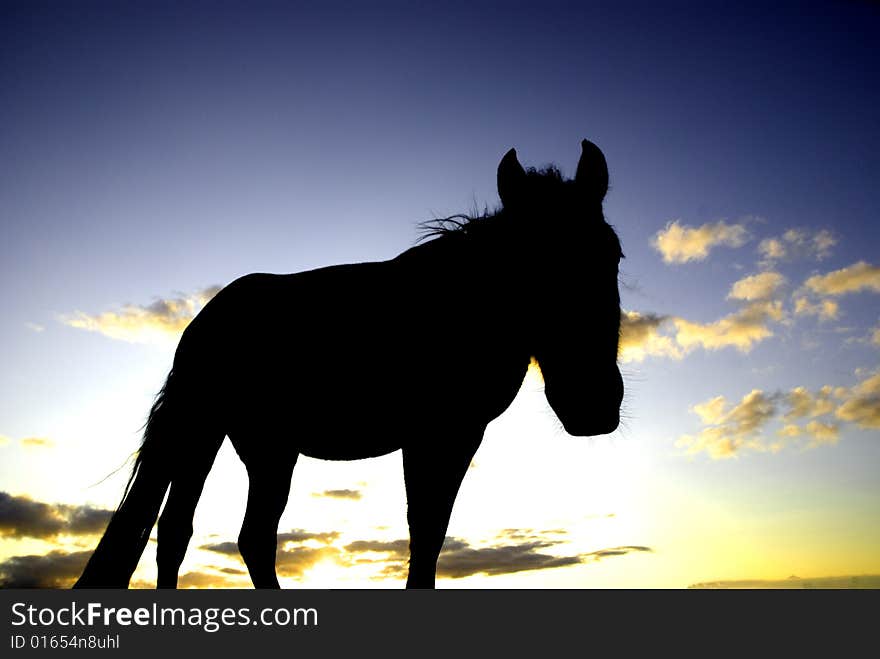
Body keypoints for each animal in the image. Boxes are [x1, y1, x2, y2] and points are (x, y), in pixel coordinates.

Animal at [74, 138, 624, 588]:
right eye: (524, 267)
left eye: (613, 255)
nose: (592, 402)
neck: (456, 304)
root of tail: (203, 323)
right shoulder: (431, 433)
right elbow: (424, 532)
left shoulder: (460, 435)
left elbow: (432, 535)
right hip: (215, 433)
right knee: (211, 533)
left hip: (254, 445)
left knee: (193, 532)